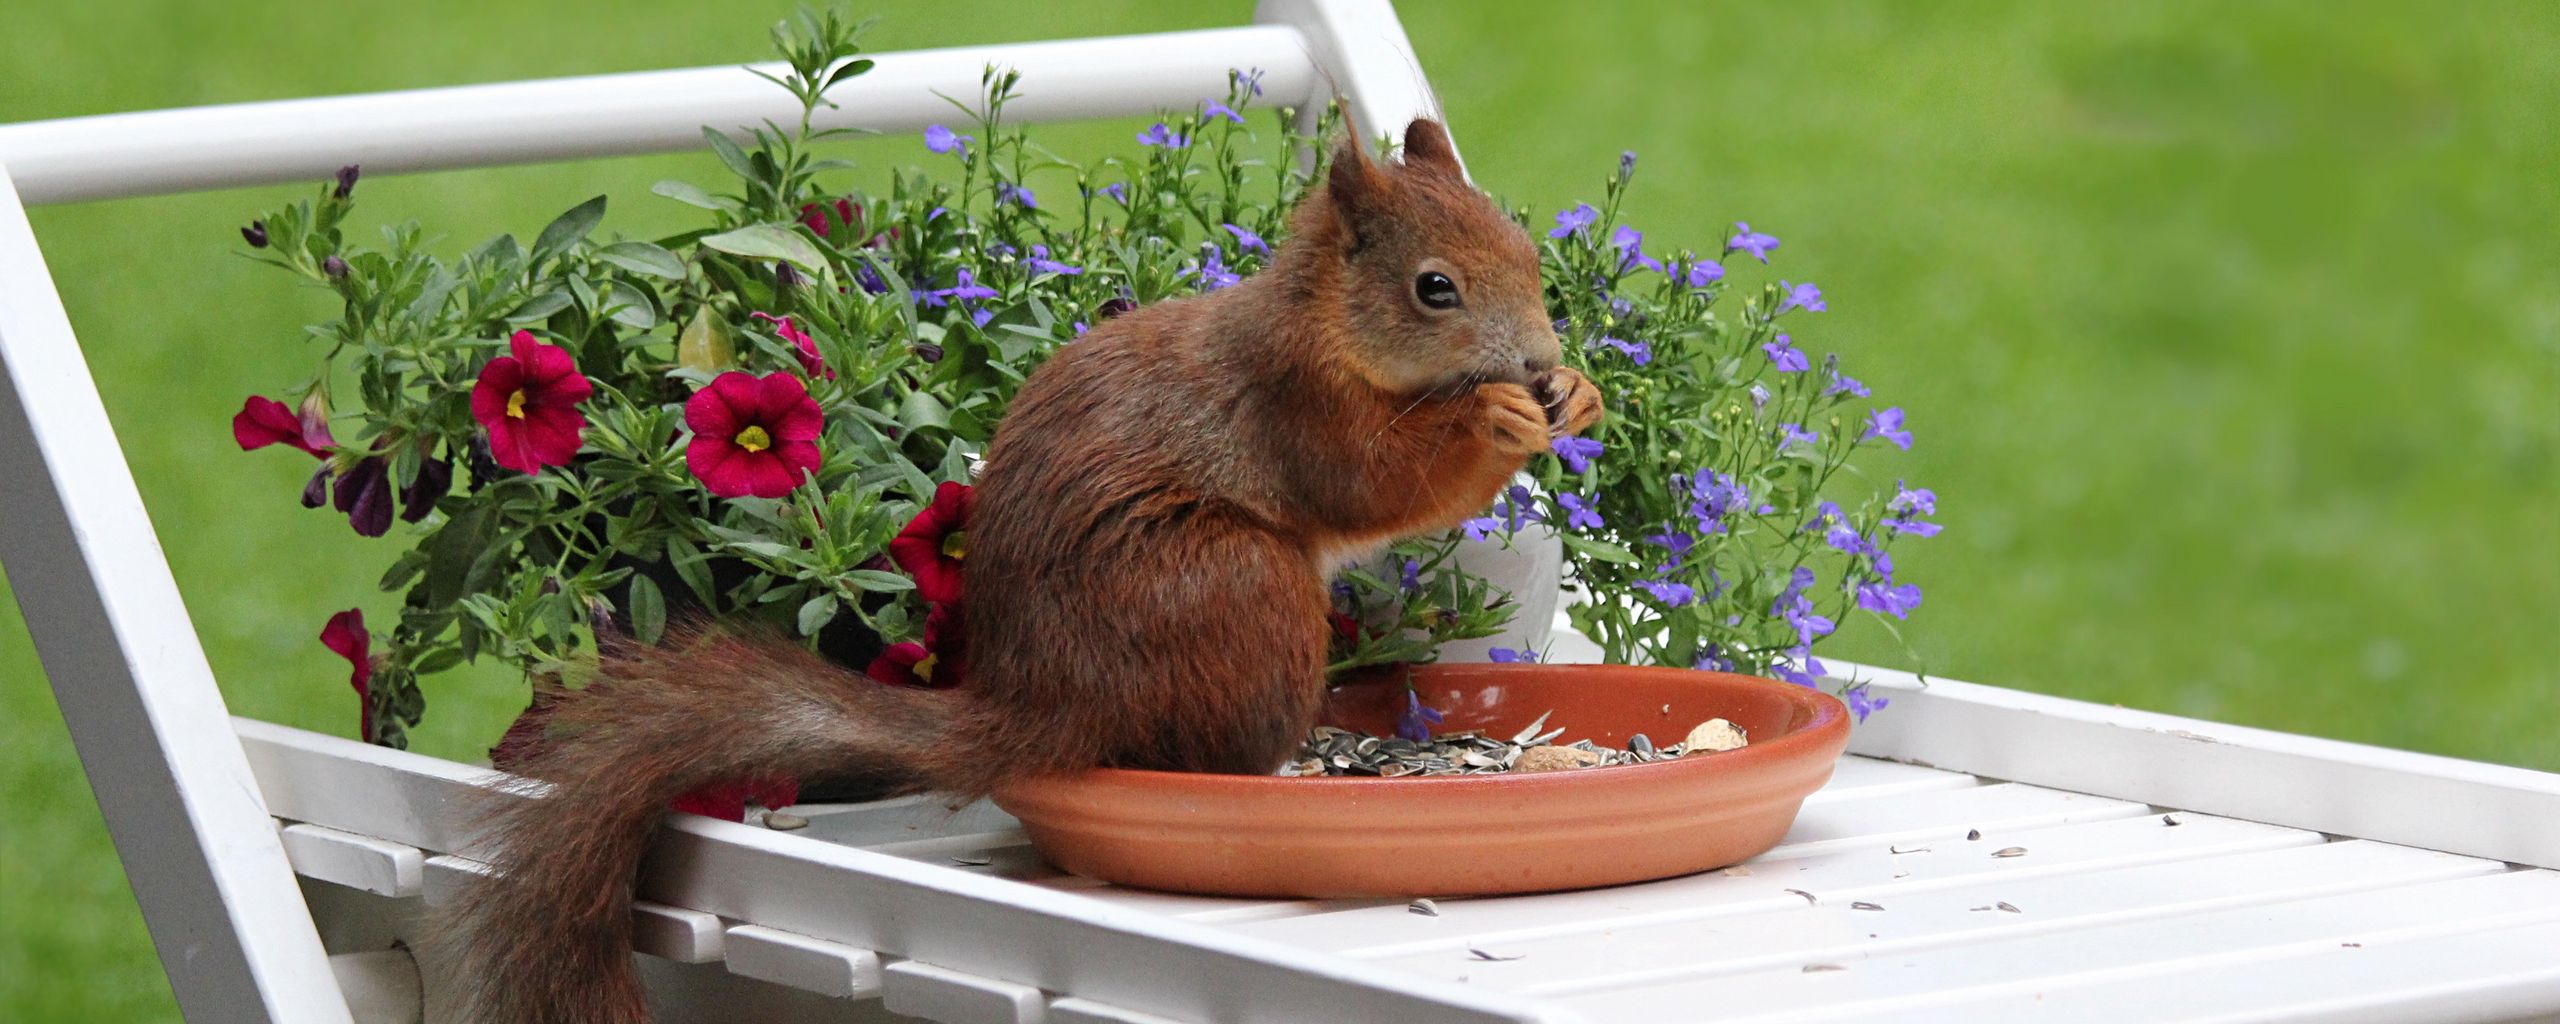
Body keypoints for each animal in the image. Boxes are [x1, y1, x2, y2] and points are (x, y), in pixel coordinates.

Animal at [440, 115, 1597, 1018]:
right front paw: (1495, 418)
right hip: (1238, 583)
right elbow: (1373, 485)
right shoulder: (1295, 404)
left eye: (1525, 250)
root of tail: (1044, 702)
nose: (1540, 362)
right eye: (1433, 288)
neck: (1326, 328)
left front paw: (1575, 396)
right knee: (1208, 753)